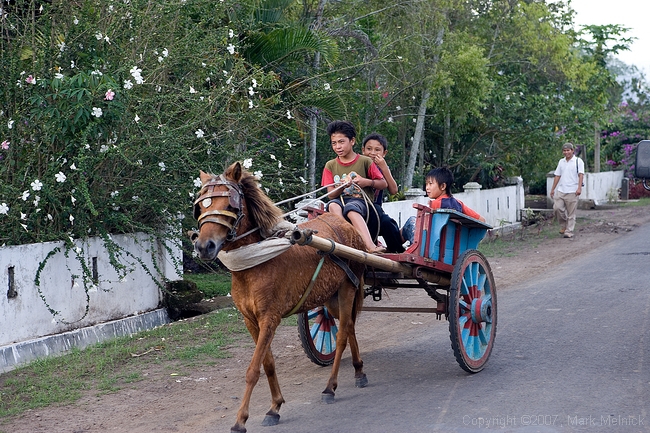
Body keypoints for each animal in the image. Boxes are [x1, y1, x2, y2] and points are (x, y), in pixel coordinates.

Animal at [190, 160, 368, 430]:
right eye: (201, 206)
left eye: (231, 206)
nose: (204, 246)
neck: (256, 261)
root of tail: (347, 227)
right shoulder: (250, 320)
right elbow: (268, 363)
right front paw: (275, 406)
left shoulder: (269, 318)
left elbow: (253, 369)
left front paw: (240, 420)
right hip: (331, 298)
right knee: (348, 326)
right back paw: (359, 370)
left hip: (348, 288)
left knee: (341, 337)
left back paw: (330, 387)